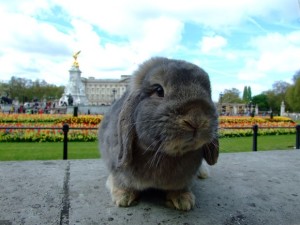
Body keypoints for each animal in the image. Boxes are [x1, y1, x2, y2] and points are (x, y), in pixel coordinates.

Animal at [98, 56, 218, 211]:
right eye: (159, 90)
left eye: (208, 92)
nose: (196, 119)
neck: (161, 154)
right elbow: (120, 182)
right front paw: (123, 197)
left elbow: (181, 188)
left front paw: (183, 200)